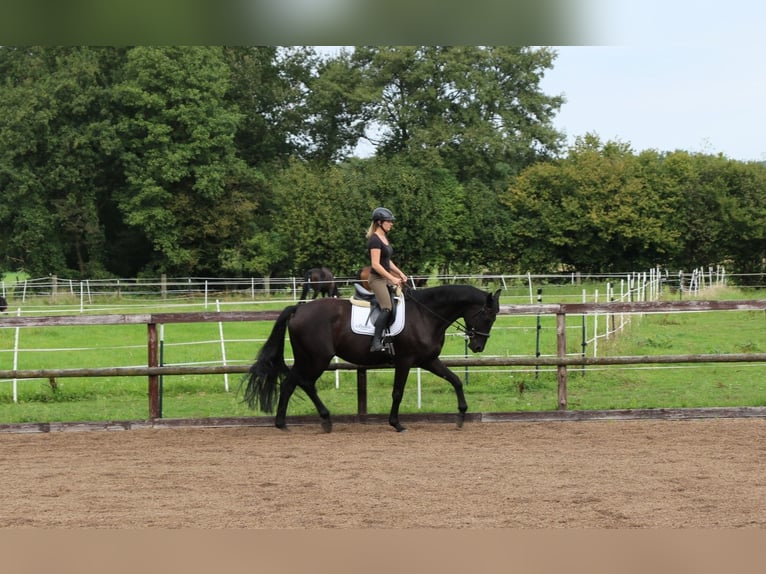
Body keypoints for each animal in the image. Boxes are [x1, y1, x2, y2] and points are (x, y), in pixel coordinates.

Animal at [243, 286, 500, 434]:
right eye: (488, 315)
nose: (477, 346)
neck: (425, 314)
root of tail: (298, 309)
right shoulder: (405, 361)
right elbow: (397, 393)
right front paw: (396, 423)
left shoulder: (428, 360)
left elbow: (455, 380)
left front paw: (461, 415)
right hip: (317, 358)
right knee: (303, 383)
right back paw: (319, 420)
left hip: (307, 358)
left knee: (292, 383)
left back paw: (284, 423)